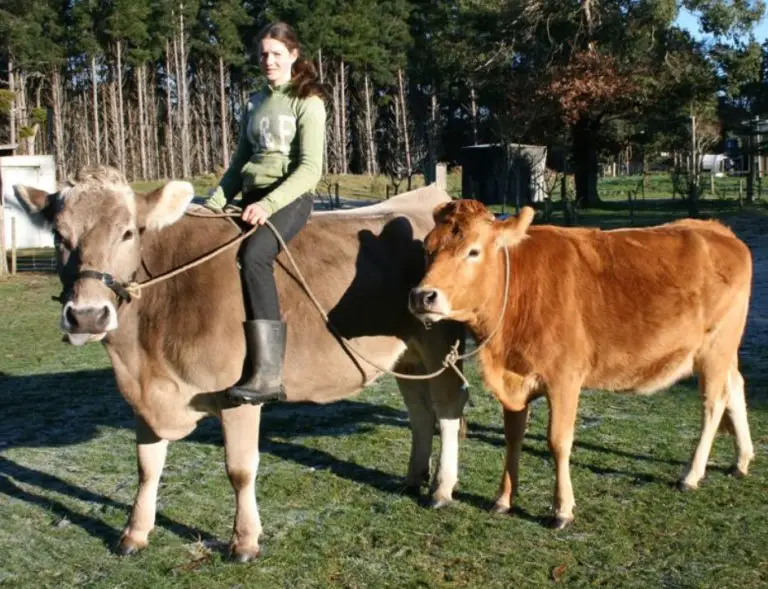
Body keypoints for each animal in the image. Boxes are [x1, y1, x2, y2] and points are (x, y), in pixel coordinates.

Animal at [13, 166, 468, 561]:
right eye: (59, 236)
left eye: (128, 232)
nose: (87, 316)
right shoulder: (145, 393)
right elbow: (146, 467)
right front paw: (134, 533)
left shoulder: (238, 397)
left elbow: (240, 469)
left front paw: (245, 541)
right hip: (406, 353)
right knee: (420, 413)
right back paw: (413, 478)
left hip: (438, 343)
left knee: (447, 410)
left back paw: (441, 490)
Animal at [409, 199, 755, 529]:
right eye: (427, 248)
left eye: (473, 251)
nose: (423, 296)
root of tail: (717, 229)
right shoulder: (513, 379)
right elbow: (513, 436)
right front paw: (503, 499)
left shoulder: (564, 379)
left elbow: (559, 441)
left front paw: (562, 510)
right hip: (723, 351)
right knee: (735, 388)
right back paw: (742, 460)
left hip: (716, 347)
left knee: (713, 404)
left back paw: (691, 475)